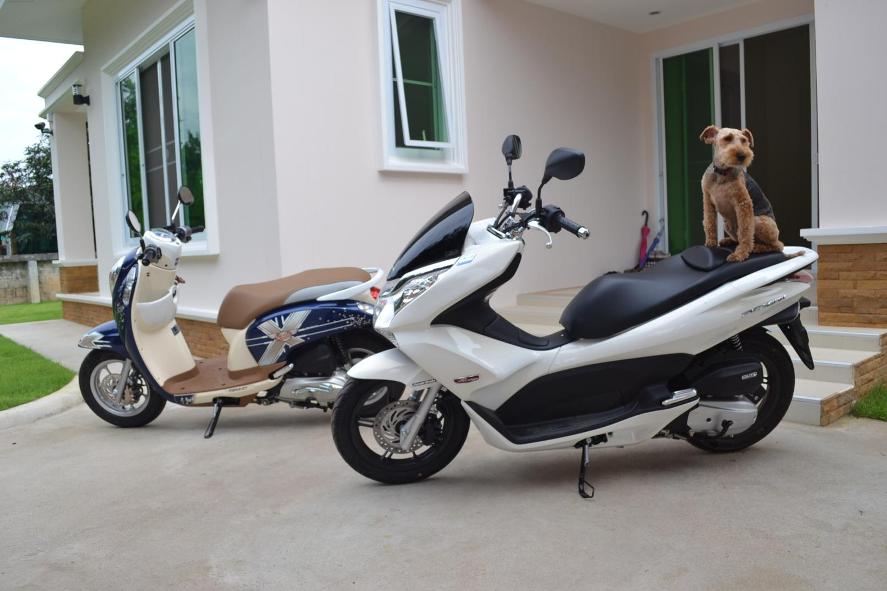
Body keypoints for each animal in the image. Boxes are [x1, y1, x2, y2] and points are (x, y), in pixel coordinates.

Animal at [700, 125, 784, 262]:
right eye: (727, 138)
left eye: (744, 140)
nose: (742, 155)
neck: (722, 172)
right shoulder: (707, 201)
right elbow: (709, 223)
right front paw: (711, 243)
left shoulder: (743, 203)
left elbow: (745, 231)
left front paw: (739, 254)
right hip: (728, 223)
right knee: (738, 237)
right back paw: (728, 241)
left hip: (759, 221)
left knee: (777, 245)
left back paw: (756, 248)